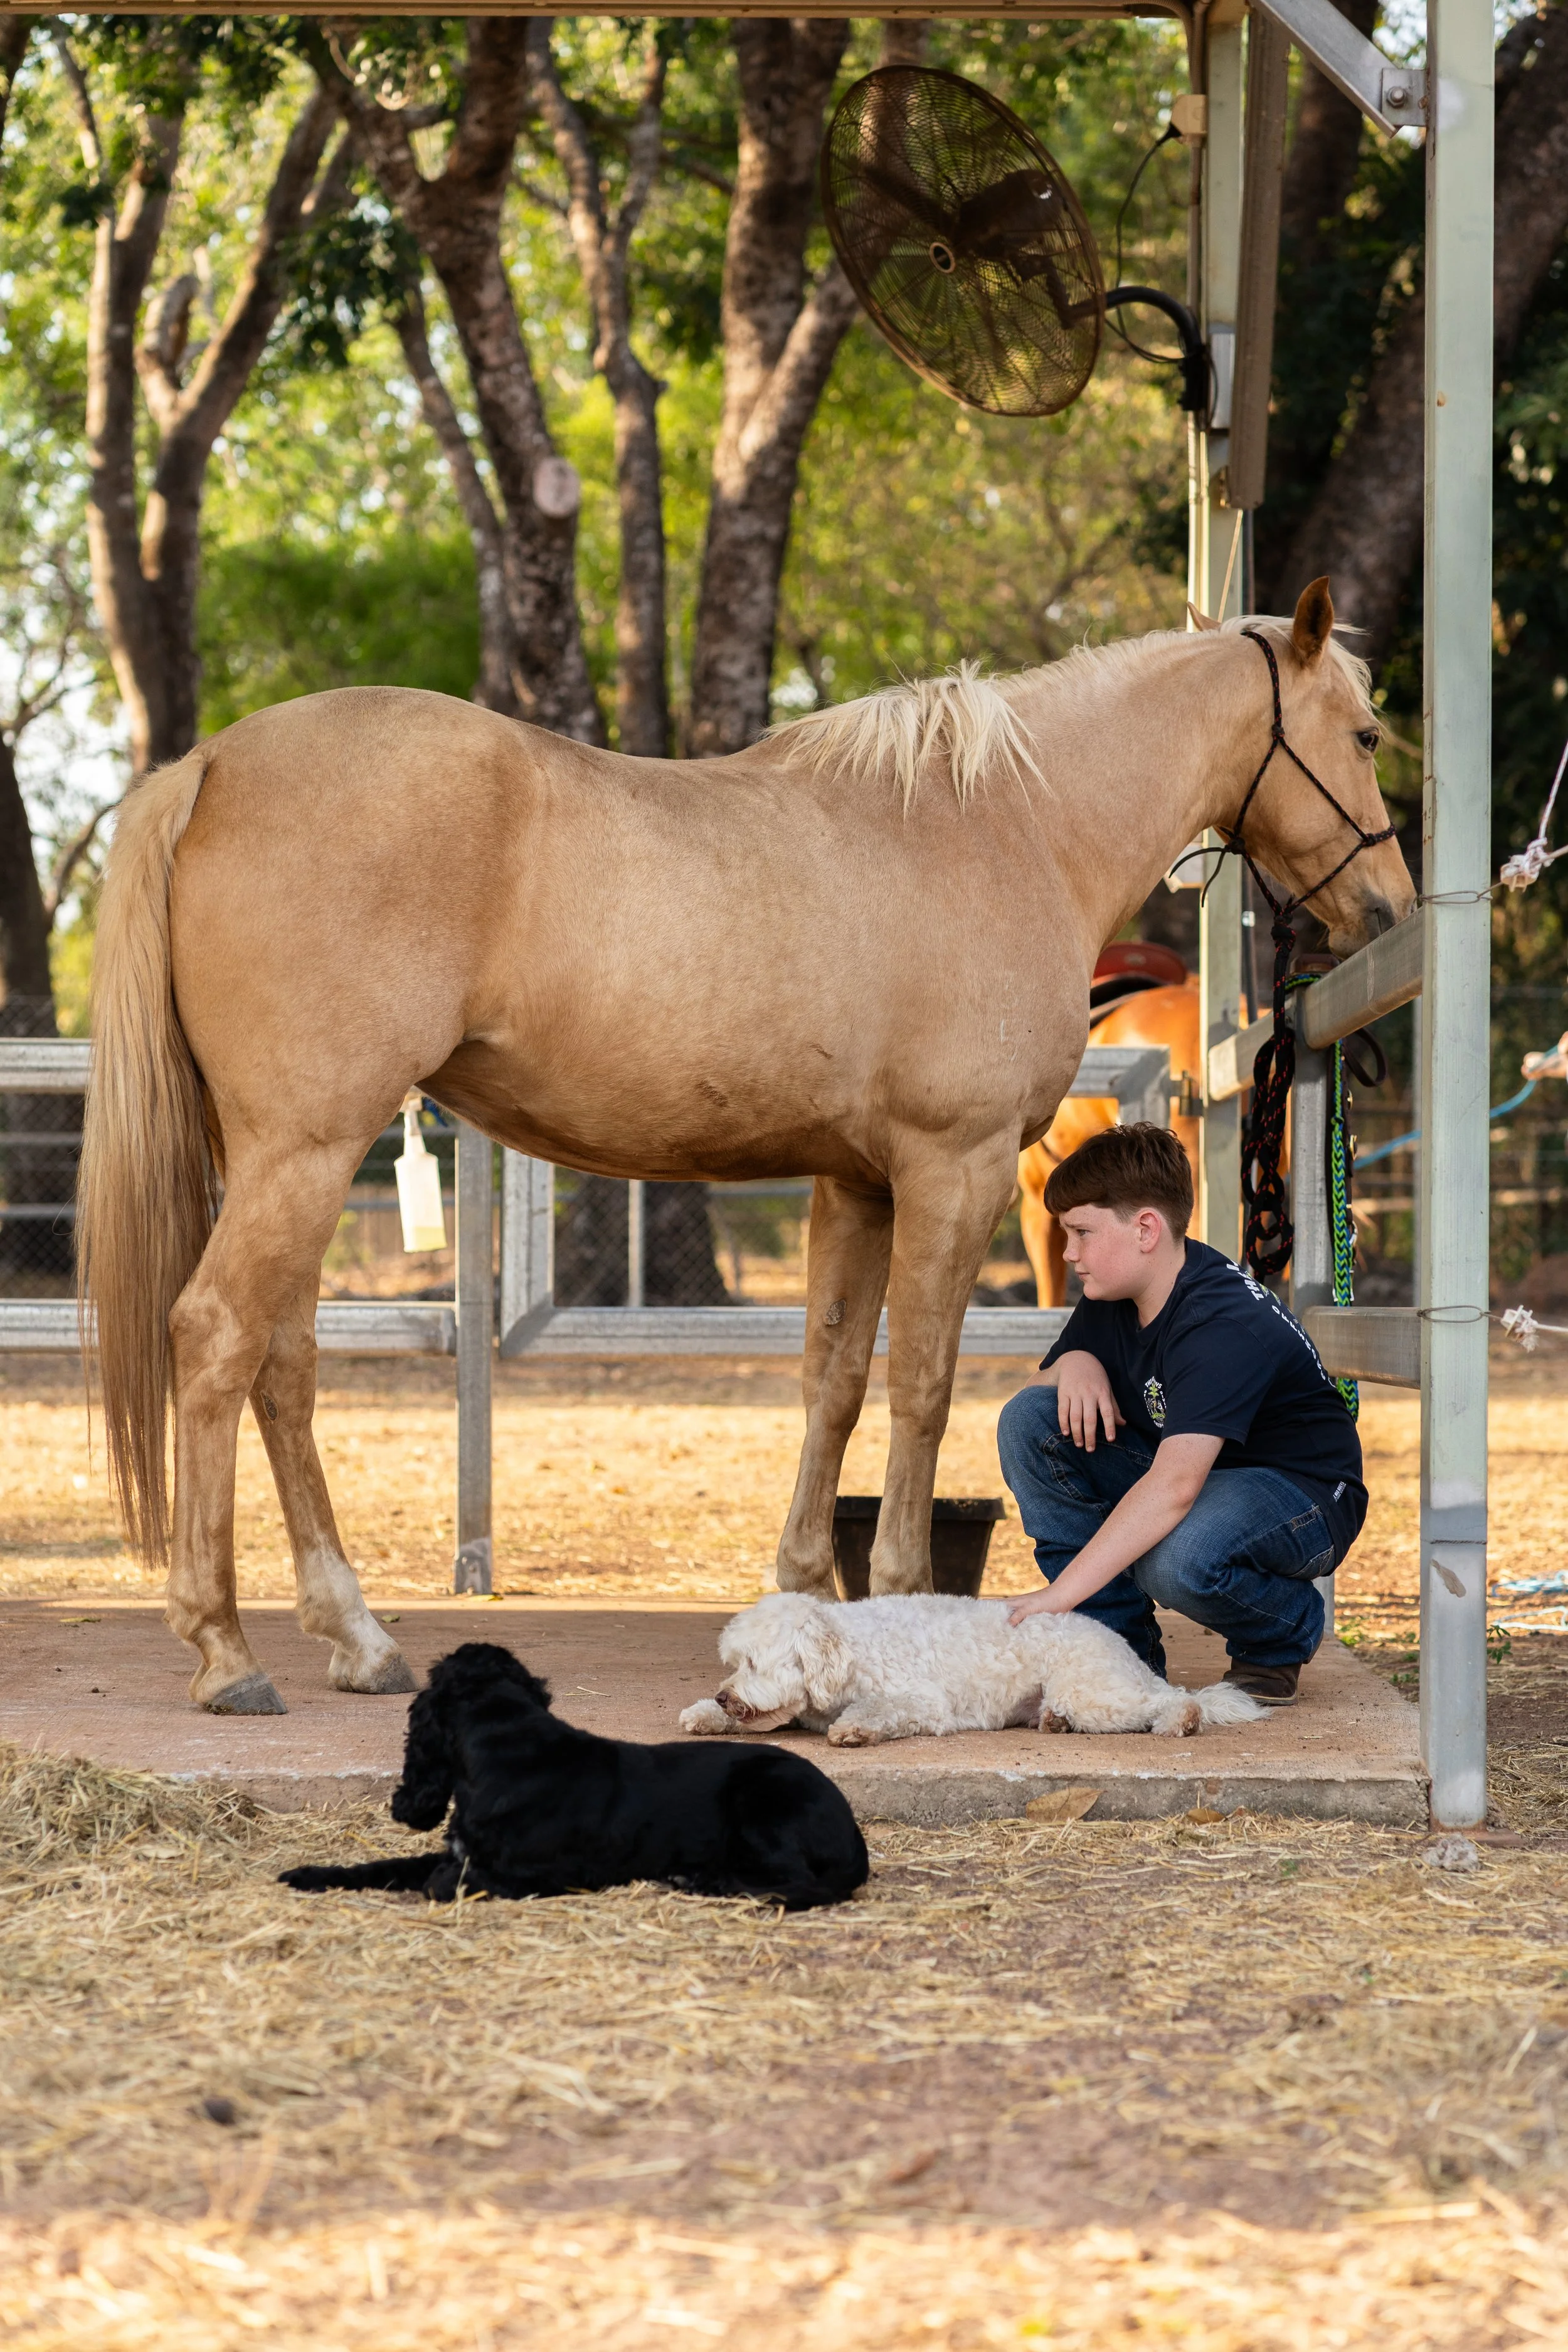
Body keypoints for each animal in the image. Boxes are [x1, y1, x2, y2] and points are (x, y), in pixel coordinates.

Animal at [76, 578, 1414, 1715]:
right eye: (1363, 737)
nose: (1386, 910)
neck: (1007, 826)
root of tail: (209, 764)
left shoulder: (859, 1184)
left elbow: (832, 1381)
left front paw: (810, 1584)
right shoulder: (955, 1167)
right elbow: (923, 1387)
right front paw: (902, 1591)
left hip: (280, 1159)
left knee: (284, 1365)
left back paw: (355, 1638)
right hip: (301, 1150)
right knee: (218, 1339)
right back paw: (226, 1649)